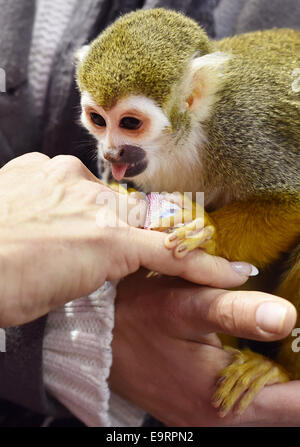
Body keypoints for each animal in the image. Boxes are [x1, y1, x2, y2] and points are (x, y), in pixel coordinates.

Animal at [75, 8, 300, 418]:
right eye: (98, 119)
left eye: (129, 123)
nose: (111, 153)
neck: (183, 138)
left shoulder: (243, 131)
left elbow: (291, 199)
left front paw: (206, 230)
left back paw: (279, 370)